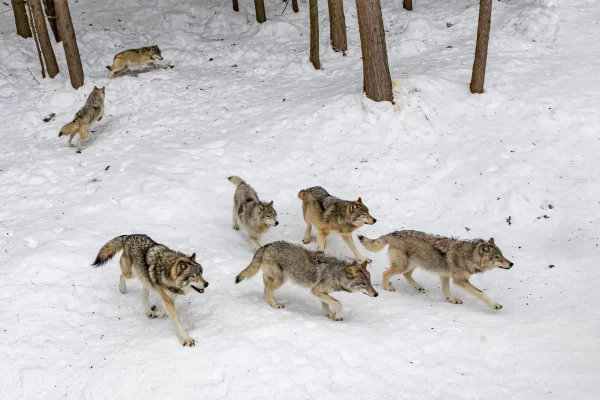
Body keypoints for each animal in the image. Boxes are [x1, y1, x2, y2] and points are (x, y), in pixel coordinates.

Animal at [233, 241, 376, 322]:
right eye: (363, 284)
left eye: (370, 281)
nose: (376, 294)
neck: (336, 273)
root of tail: (267, 245)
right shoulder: (315, 290)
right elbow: (338, 303)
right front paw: (337, 316)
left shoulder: (320, 291)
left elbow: (326, 303)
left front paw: (329, 314)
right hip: (281, 279)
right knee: (267, 290)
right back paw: (275, 305)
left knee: (265, 290)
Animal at [358, 230, 512, 310]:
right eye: (497, 257)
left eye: (502, 255)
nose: (511, 264)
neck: (468, 256)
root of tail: (394, 233)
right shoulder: (460, 280)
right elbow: (481, 293)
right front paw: (495, 305)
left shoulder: (445, 276)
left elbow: (446, 291)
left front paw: (452, 300)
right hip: (403, 265)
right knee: (385, 273)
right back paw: (387, 288)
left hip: (412, 265)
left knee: (406, 275)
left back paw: (418, 287)